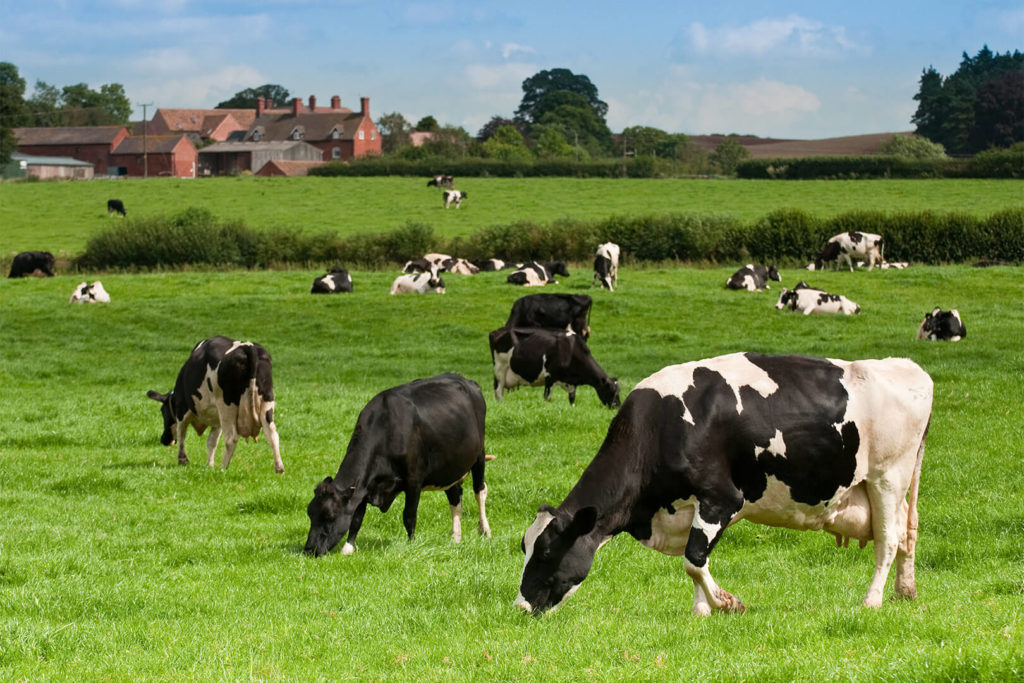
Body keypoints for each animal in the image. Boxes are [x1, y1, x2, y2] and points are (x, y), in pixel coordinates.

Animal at [146, 335, 282, 475]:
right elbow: (212, 441)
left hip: (226, 407)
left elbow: (181, 434)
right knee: (273, 435)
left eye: (163, 412)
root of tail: (248, 347)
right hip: (266, 403)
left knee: (231, 438)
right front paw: (209, 464)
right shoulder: (217, 419)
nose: (163, 439)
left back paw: (223, 467)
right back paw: (279, 468)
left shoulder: (181, 410)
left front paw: (182, 460)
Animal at [303, 374, 491, 557]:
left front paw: (412, 544)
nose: (309, 550)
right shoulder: (364, 484)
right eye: (310, 513)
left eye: (330, 516)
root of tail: (468, 381)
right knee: (456, 496)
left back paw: (484, 530)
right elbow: (356, 519)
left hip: (479, 454)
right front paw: (348, 548)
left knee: (479, 490)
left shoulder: (414, 480)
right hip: (449, 468)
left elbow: (409, 515)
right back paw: (456, 539)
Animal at [516, 356, 933, 618]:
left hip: (887, 478)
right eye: (525, 547)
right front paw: (701, 610)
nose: (520, 606)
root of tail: (908, 368)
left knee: (888, 541)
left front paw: (727, 604)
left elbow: (693, 559)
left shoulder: (722, 497)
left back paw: (872, 601)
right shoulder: (693, 506)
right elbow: (697, 559)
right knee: (907, 534)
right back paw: (905, 591)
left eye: (548, 551)